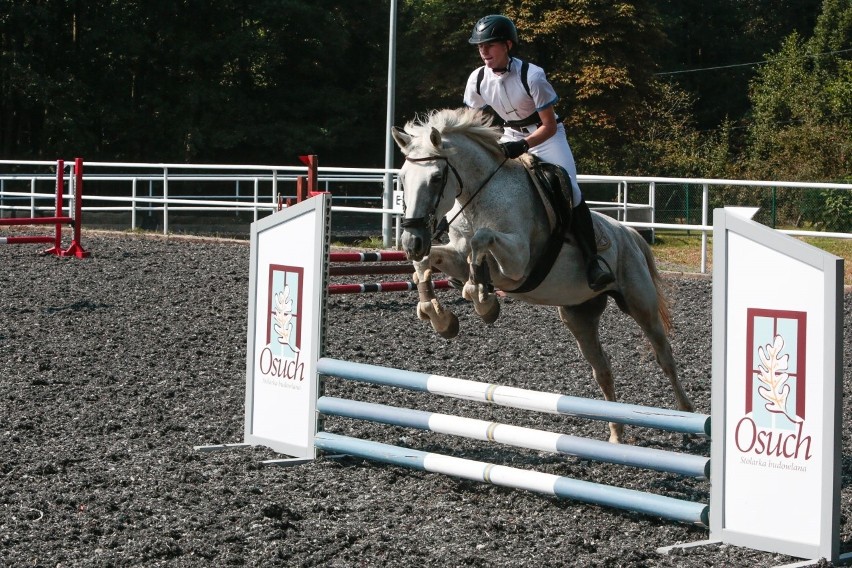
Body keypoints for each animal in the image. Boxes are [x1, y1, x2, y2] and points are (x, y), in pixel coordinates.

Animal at [392, 107, 692, 444]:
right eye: (401, 178)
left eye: (436, 178)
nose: (411, 242)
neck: (479, 197)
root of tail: (629, 233)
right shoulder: (455, 254)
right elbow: (430, 262)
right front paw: (438, 316)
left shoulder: (517, 264)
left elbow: (480, 242)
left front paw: (483, 300)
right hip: (579, 315)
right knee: (602, 368)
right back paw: (616, 434)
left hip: (640, 304)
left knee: (664, 356)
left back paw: (687, 418)